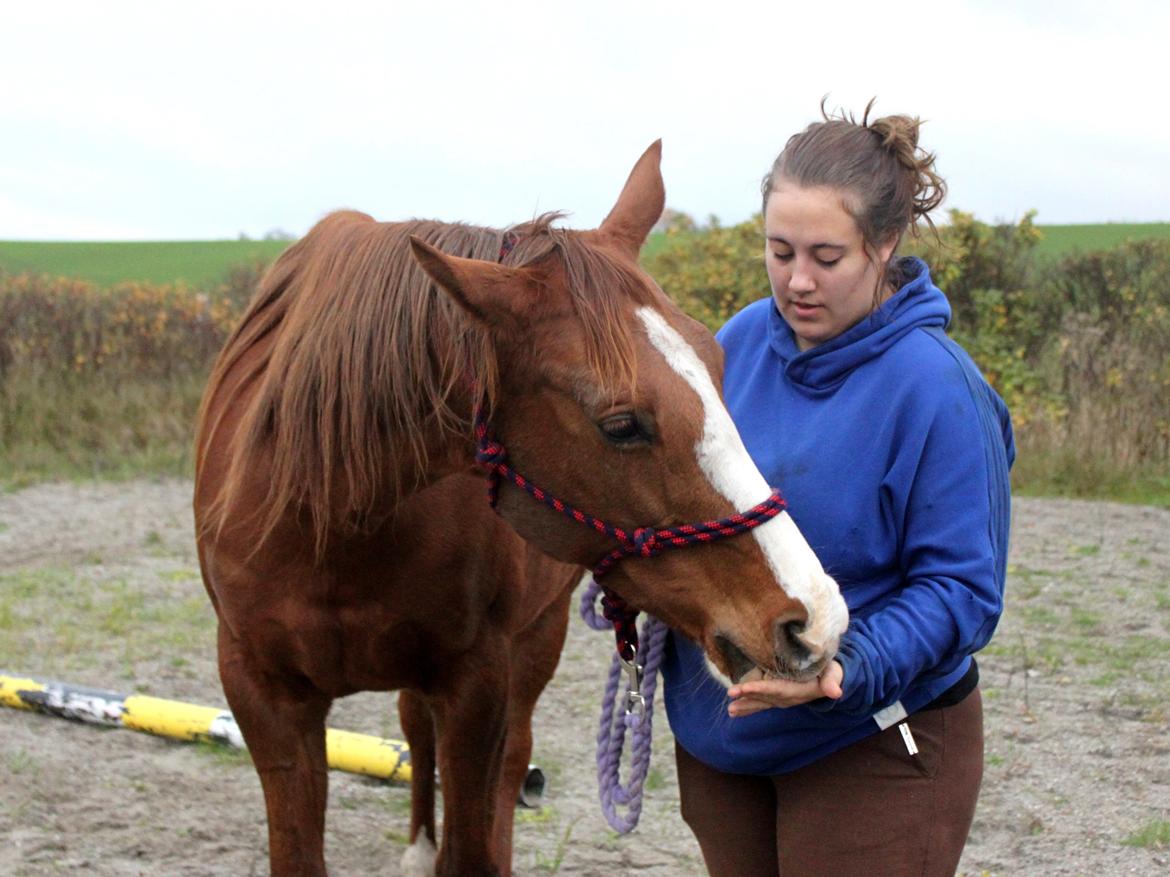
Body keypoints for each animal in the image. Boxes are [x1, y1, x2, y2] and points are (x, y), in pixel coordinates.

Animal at [194, 146, 851, 877]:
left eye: (717, 362)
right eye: (620, 424)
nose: (813, 617)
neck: (331, 522)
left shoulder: (478, 683)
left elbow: (475, 836)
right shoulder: (263, 695)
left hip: (536, 640)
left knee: (508, 767)